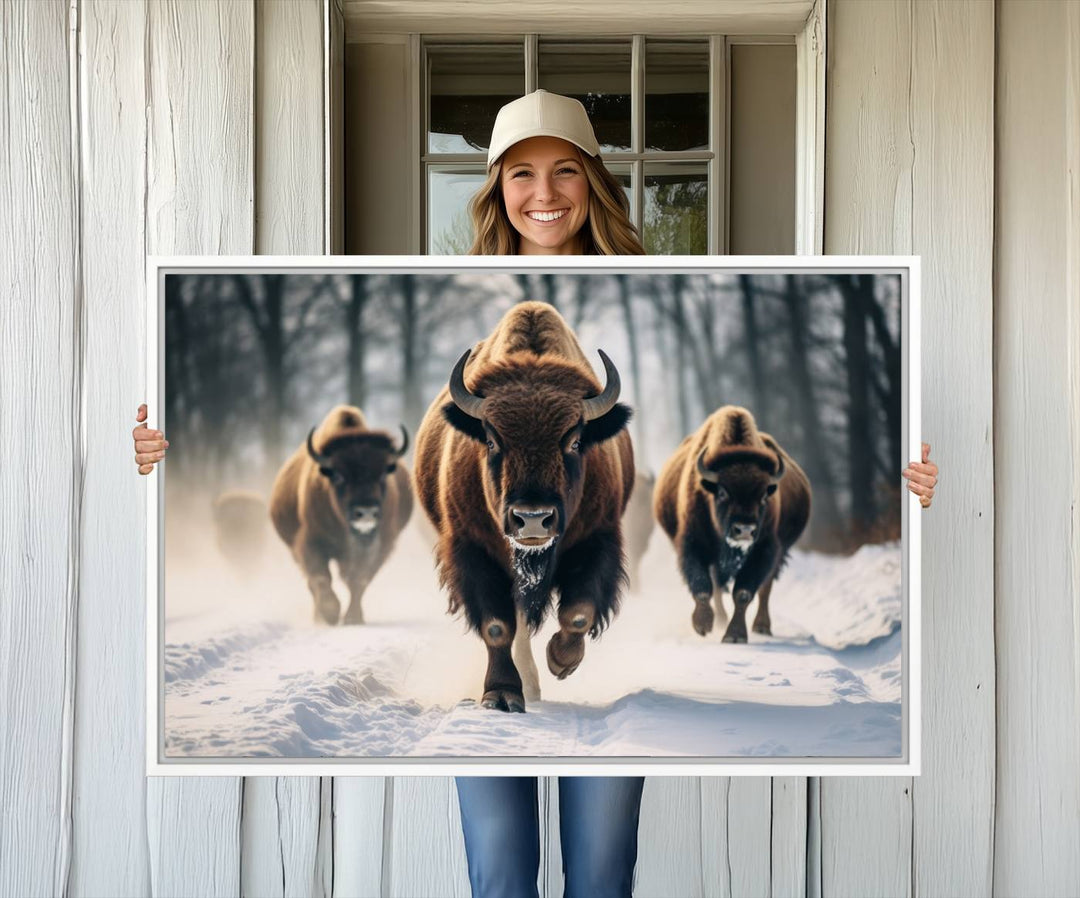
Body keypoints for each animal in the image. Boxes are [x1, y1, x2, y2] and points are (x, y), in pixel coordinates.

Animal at [270, 406, 412, 626]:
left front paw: (353, 618)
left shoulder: (381, 545)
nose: (366, 512)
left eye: (382, 474)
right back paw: (319, 616)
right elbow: (321, 577)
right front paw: (330, 613)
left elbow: (359, 580)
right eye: (338, 475)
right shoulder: (310, 542)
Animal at [412, 304, 630, 713]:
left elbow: (579, 613)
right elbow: (497, 627)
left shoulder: (597, 539)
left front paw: (561, 661)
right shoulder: (473, 549)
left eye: (575, 441)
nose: (532, 519)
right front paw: (502, 694)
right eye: (491, 440)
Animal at [648, 406, 812, 648]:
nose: (744, 530)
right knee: (718, 586)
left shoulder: (765, 549)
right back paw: (720, 620)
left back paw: (762, 626)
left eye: (764, 495)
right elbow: (703, 586)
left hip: (779, 552)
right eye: (723, 492)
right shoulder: (693, 544)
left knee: (765, 588)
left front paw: (734, 635)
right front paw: (703, 625)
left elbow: (743, 592)